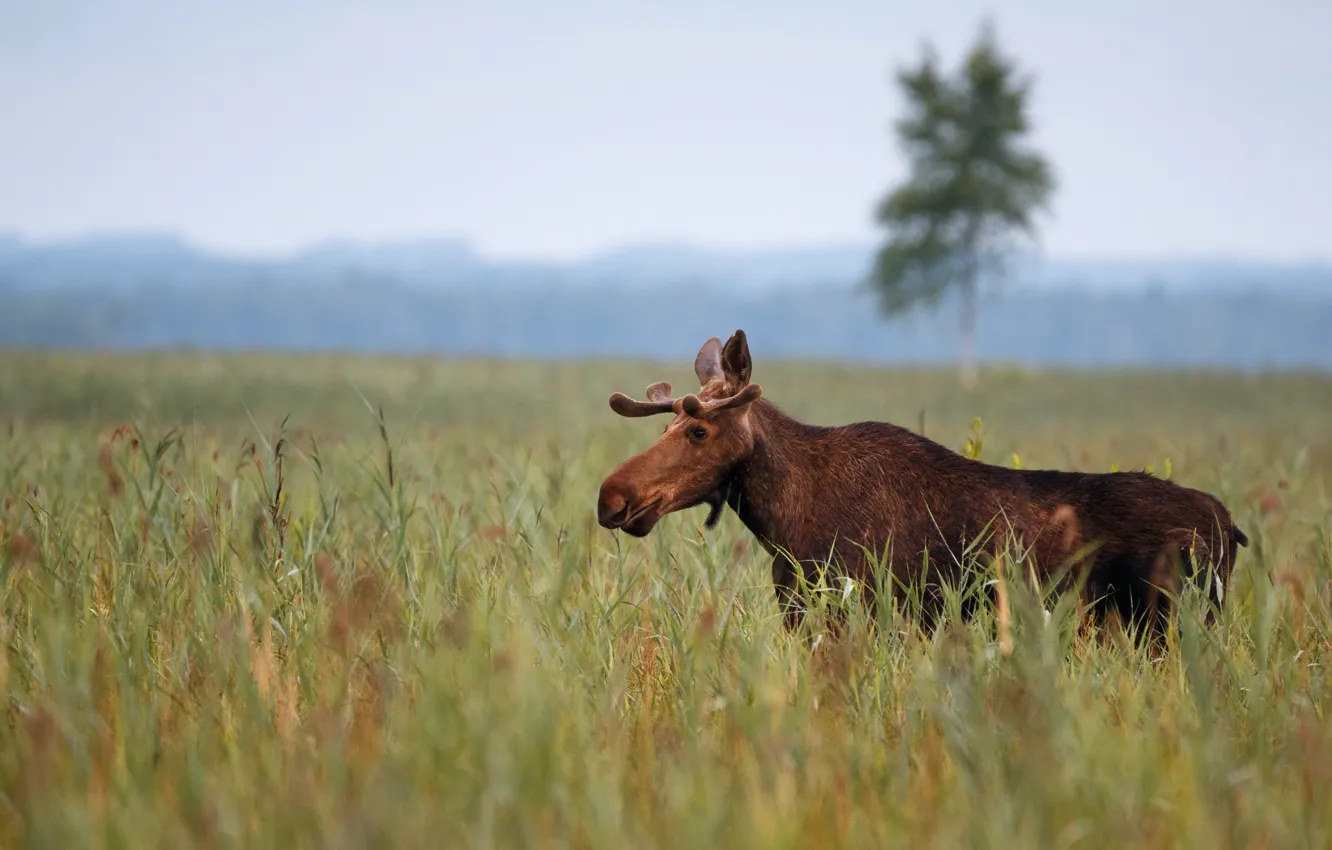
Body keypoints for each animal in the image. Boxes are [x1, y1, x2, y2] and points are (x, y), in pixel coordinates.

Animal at [596, 329, 1248, 640]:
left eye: (699, 430)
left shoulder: (857, 604)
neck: (779, 514)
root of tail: (1229, 525)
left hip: (1169, 621)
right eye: (668, 424)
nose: (612, 497)